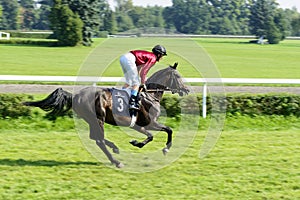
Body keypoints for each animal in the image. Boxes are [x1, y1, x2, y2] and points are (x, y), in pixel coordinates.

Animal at [24, 62, 191, 167]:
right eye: (178, 76)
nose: (187, 89)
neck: (149, 95)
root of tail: (75, 96)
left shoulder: (137, 125)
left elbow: (156, 134)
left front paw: (139, 143)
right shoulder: (149, 123)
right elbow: (164, 131)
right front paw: (162, 148)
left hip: (92, 120)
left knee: (96, 137)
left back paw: (114, 148)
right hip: (98, 118)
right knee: (99, 140)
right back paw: (116, 161)